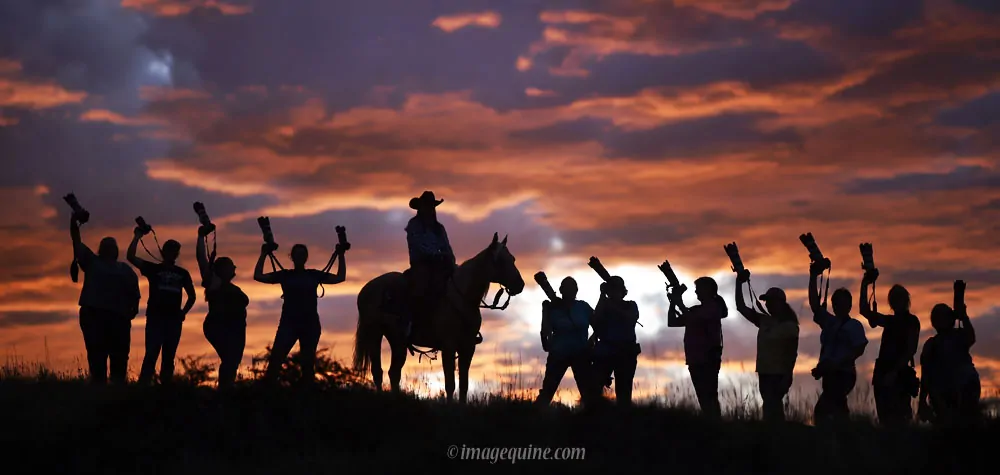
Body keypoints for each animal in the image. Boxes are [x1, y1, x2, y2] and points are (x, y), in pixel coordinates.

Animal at [352, 232, 524, 404]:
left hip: (397, 341)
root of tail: (366, 290)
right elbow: (450, 384)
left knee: (393, 373)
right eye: (500, 261)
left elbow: (464, 385)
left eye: (513, 259)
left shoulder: (468, 347)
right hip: (374, 334)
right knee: (378, 371)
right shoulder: (448, 347)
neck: (462, 297)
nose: (520, 285)